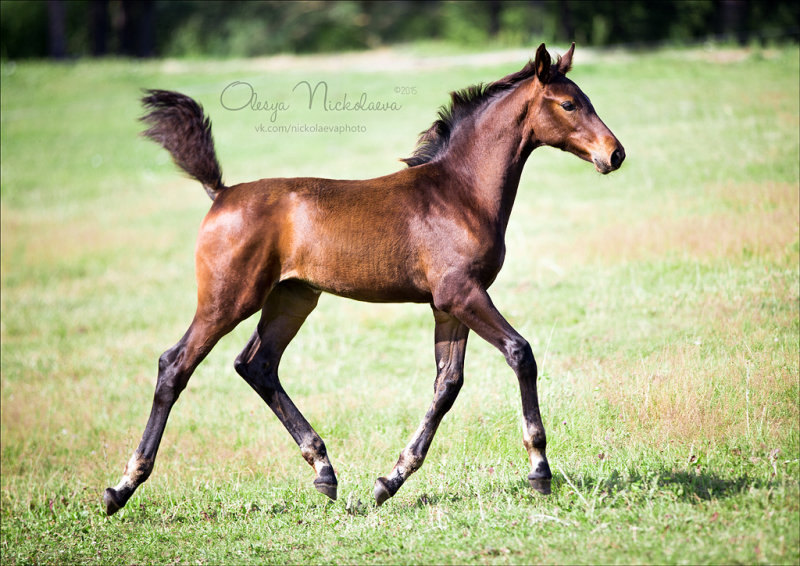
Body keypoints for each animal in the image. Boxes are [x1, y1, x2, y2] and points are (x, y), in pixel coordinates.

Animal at [103, 42, 624, 516]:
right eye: (569, 104)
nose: (615, 154)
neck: (459, 193)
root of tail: (221, 193)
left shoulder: (447, 304)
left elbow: (447, 384)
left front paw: (390, 480)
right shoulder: (462, 293)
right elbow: (521, 353)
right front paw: (540, 468)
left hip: (293, 298)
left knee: (257, 364)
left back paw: (324, 471)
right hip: (228, 298)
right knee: (175, 365)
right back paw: (122, 487)